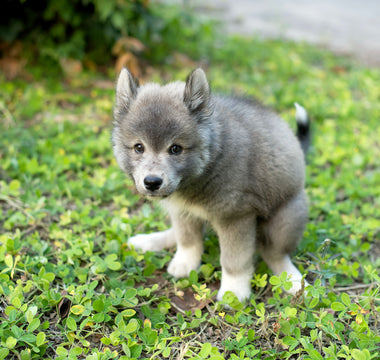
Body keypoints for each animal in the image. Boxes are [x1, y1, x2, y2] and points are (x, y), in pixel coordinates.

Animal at [112, 67, 308, 300]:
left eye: (175, 149)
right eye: (139, 147)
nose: (152, 182)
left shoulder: (236, 217)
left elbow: (234, 260)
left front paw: (233, 291)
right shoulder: (183, 210)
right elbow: (188, 240)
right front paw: (185, 263)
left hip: (284, 218)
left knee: (274, 253)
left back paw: (292, 280)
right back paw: (149, 241)